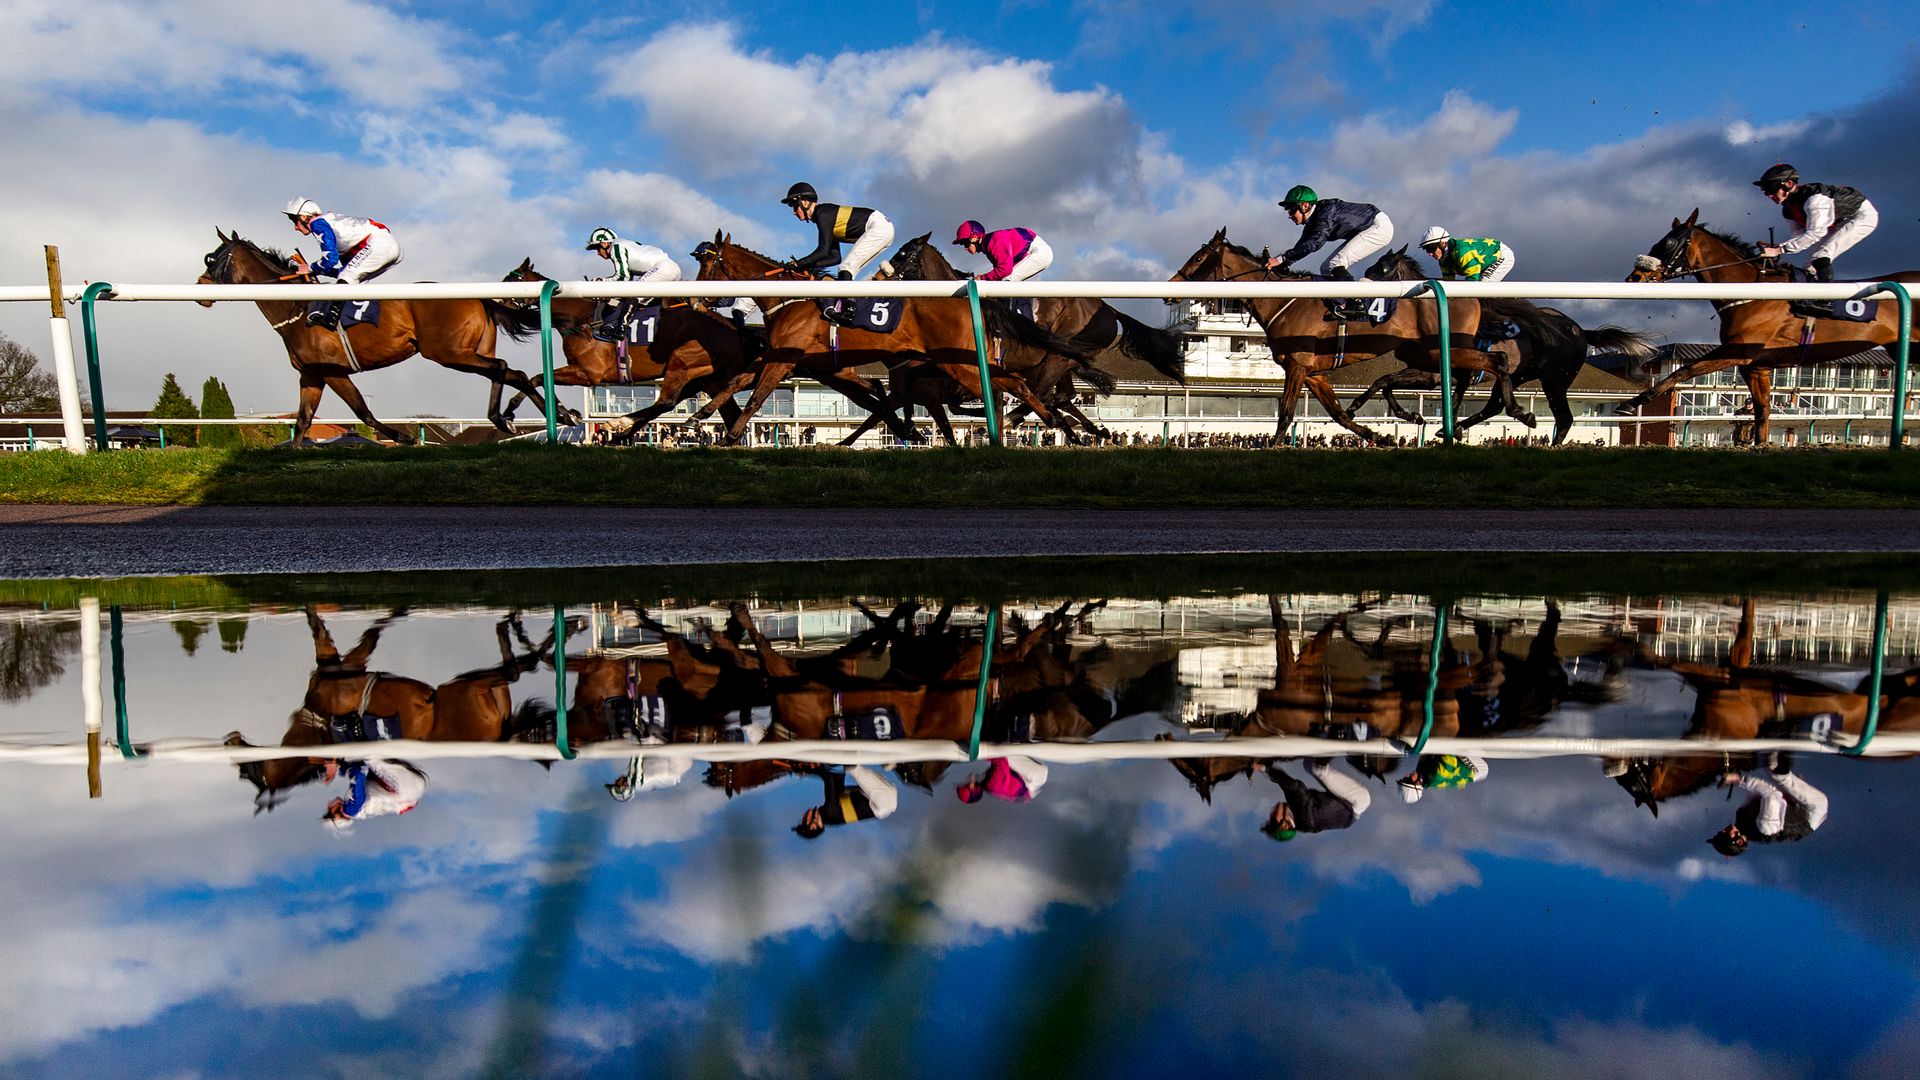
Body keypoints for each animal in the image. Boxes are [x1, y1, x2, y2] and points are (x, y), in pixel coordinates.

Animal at [197, 228, 564, 443]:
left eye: (213, 259)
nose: (200, 290)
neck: (295, 308)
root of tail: (481, 297)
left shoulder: (333, 370)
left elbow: (364, 412)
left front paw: (405, 439)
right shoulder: (311, 374)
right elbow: (302, 421)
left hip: (448, 352)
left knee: (502, 368)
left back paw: (507, 419)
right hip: (470, 350)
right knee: (514, 372)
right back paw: (555, 413)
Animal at [691, 231, 1090, 441]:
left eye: (708, 264)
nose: (695, 299)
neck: (788, 299)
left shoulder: (786, 358)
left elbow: (757, 394)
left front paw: (730, 434)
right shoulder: (780, 354)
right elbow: (740, 380)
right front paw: (701, 416)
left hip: (959, 365)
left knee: (1006, 388)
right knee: (1015, 385)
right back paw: (1052, 420)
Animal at [1167, 228, 1512, 443]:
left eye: (1198, 259)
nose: (1170, 289)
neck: (1281, 300)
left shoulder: (1297, 365)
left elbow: (1286, 413)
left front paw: (1273, 447)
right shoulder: (1313, 372)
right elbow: (1337, 414)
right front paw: (1379, 437)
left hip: (1440, 349)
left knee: (1494, 360)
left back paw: (1509, 409)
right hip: (1425, 352)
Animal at [1359, 247, 1658, 441]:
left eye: (1382, 269)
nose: (1360, 289)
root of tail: (1579, 331)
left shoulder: (1447, 372)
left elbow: (1397, 385)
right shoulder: (1431, 373)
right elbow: (1384, 382)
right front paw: (1413, 416)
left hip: (1555, 380)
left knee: (1564, 418)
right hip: (1522, 374)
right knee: (1496, 405)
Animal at [1620, 208, 1920, 443]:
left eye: (1669, 242)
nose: (1635, 277)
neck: (1752, 291)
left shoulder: (1739, 352)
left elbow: (1683, 370)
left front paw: (1633, 402)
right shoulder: (1756, 366)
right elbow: (1762, 410)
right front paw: (1760, 445)